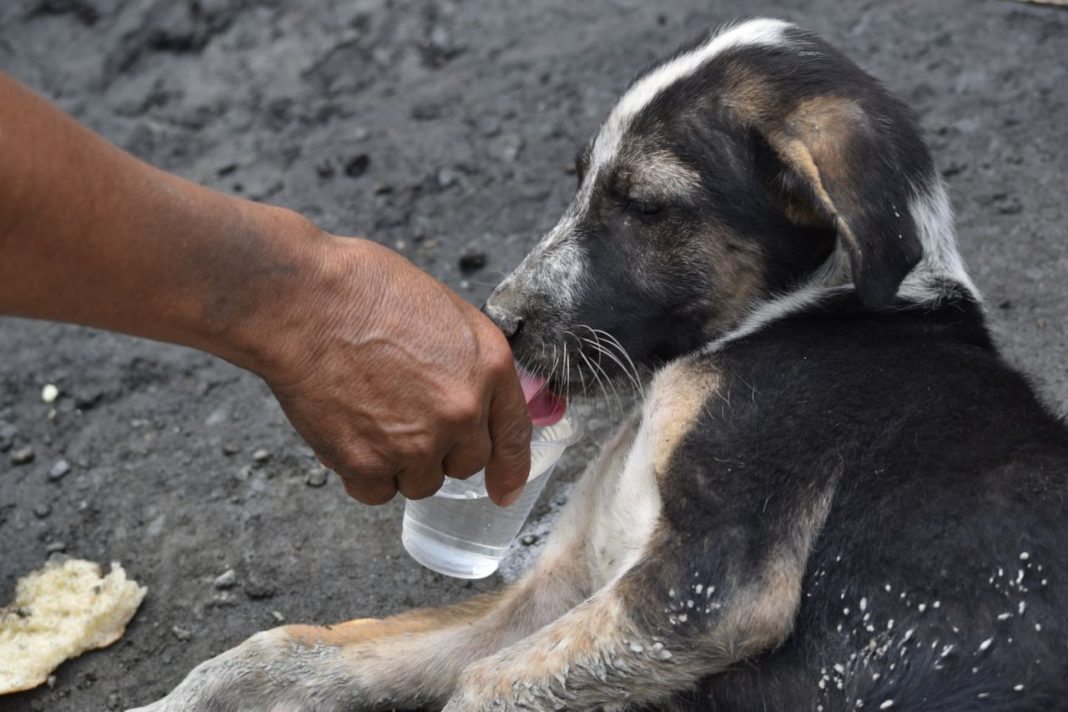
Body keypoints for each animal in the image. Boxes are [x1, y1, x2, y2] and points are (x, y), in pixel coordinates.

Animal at [135, 18, 1068, 712]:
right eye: (579, 179)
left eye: (646, 205)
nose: (499, 322)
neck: (785, 316)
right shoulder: (565, 586)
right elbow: (292, 651)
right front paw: (176, 699)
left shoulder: (707, 588)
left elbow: (480, 687)